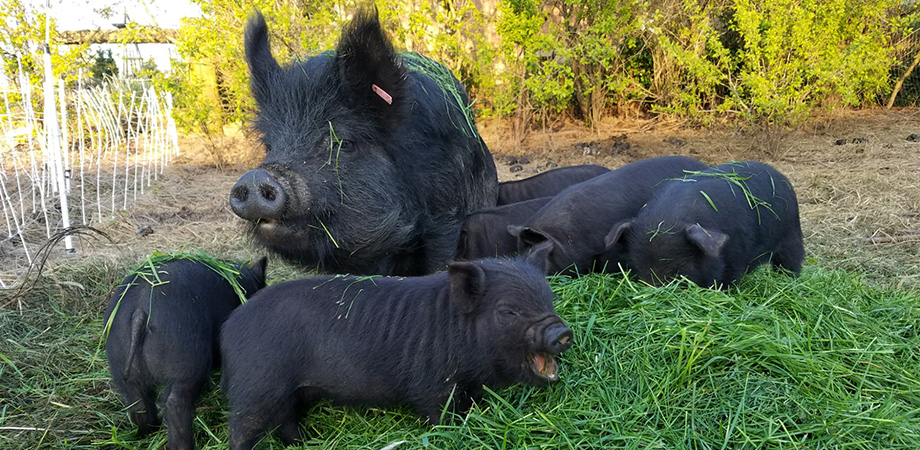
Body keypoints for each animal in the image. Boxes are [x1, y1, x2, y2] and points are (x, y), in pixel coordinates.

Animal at [106, 256, 270, 450]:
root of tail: (139, 312)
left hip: (120, 363)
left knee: (138, 402)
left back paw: (150, 432)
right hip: (187, 359)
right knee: (175, 403)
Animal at [219, 251, 572, 448]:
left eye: (548, 298)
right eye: (508, 311)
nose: (563, 332)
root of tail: (229, 326)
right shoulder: (432, 387)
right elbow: (439, 417)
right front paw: (450, 433)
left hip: (290, 391)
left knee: (286, 420)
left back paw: (307, 442)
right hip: (256, 387)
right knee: (240, 429)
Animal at [608, 162, 800, 286]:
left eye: (679, 270)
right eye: (638, 266)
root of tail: (781, 176)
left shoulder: (737, 257)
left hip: (791, 237)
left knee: (792, 262)